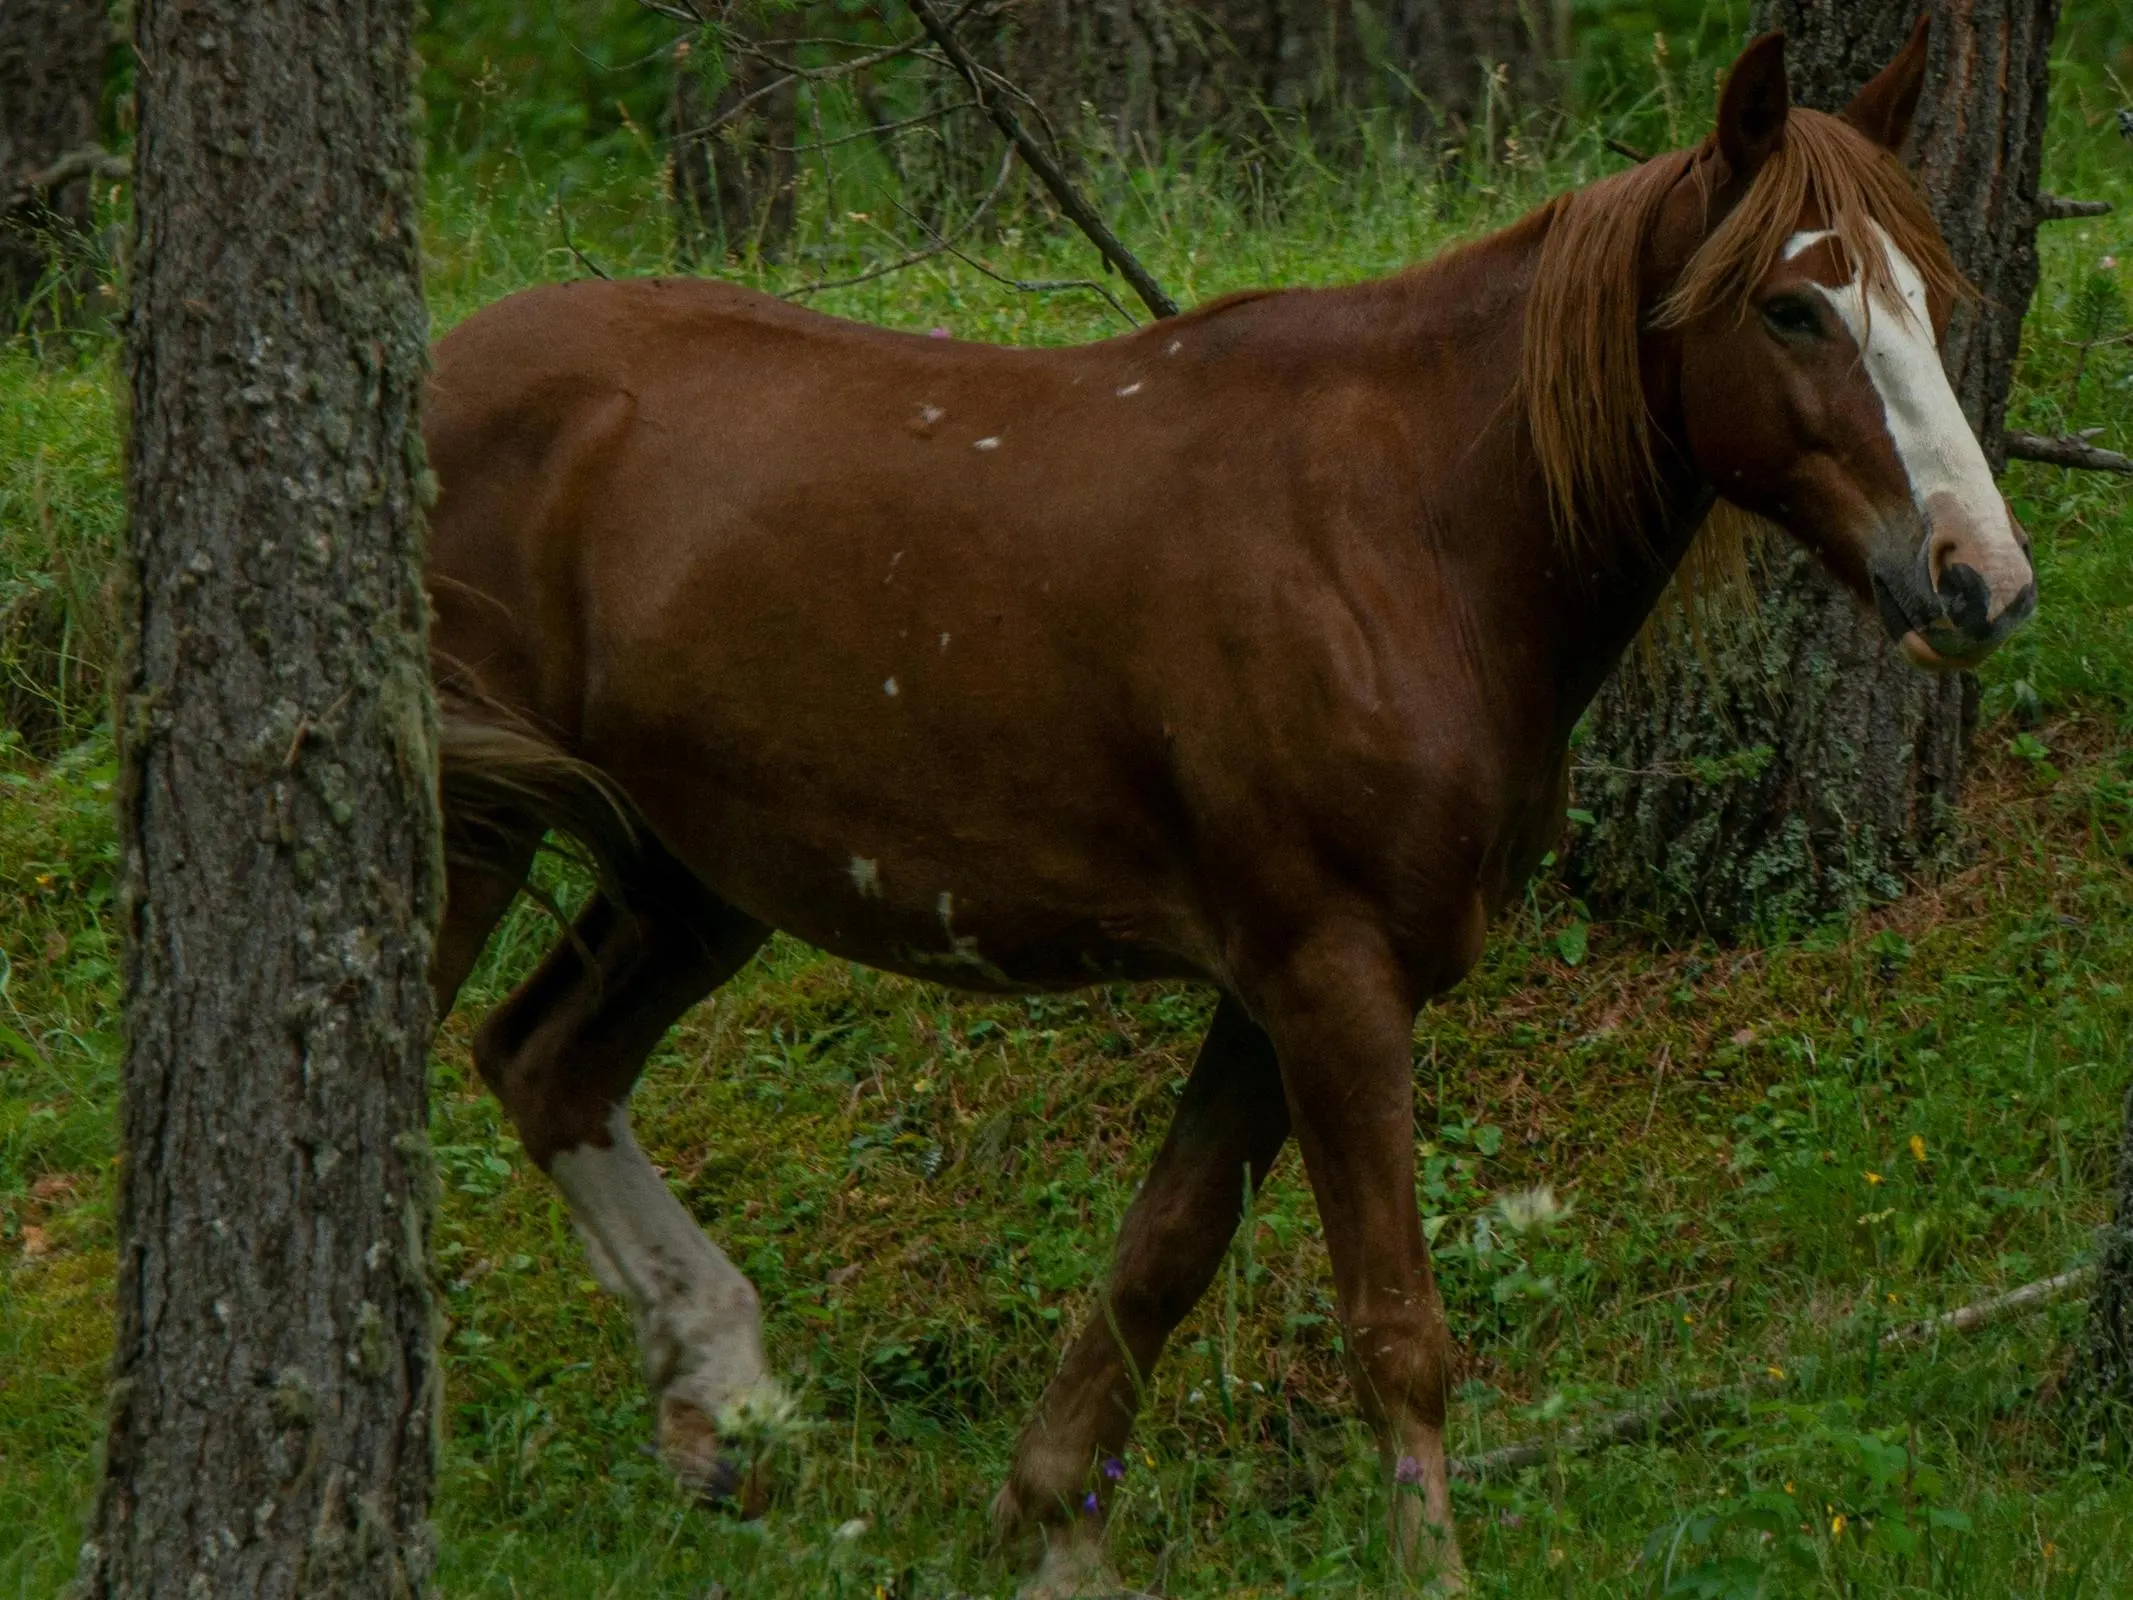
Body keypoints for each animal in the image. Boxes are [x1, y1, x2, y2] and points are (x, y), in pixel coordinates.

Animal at [420, 21, 2030, 1595]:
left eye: (1925, 292)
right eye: (1792, 309)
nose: (1983, 584)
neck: (1409, 538)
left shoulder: (1269, 994)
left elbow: (1161, 1259)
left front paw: (1053, 1527)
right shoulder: (1330, 980)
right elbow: (1394, 1326)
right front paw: (1427, 1567)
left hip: (694, 878)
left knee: (545, 1062)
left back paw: (723, 1407)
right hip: (475, 840)